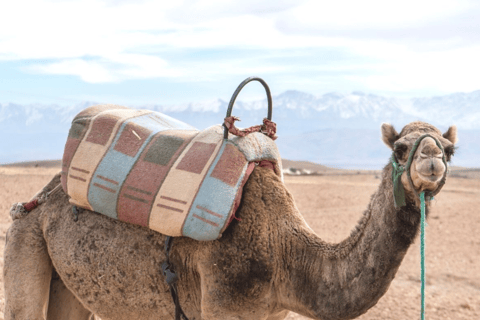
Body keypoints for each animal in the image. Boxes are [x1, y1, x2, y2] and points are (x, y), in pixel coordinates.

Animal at [3, 120, 458, 320]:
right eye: (400, 148)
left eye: (451, 149)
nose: (431, 161)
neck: (286, 252)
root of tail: (41, 196)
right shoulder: (227, 297)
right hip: (23, 237)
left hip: (69, 282)